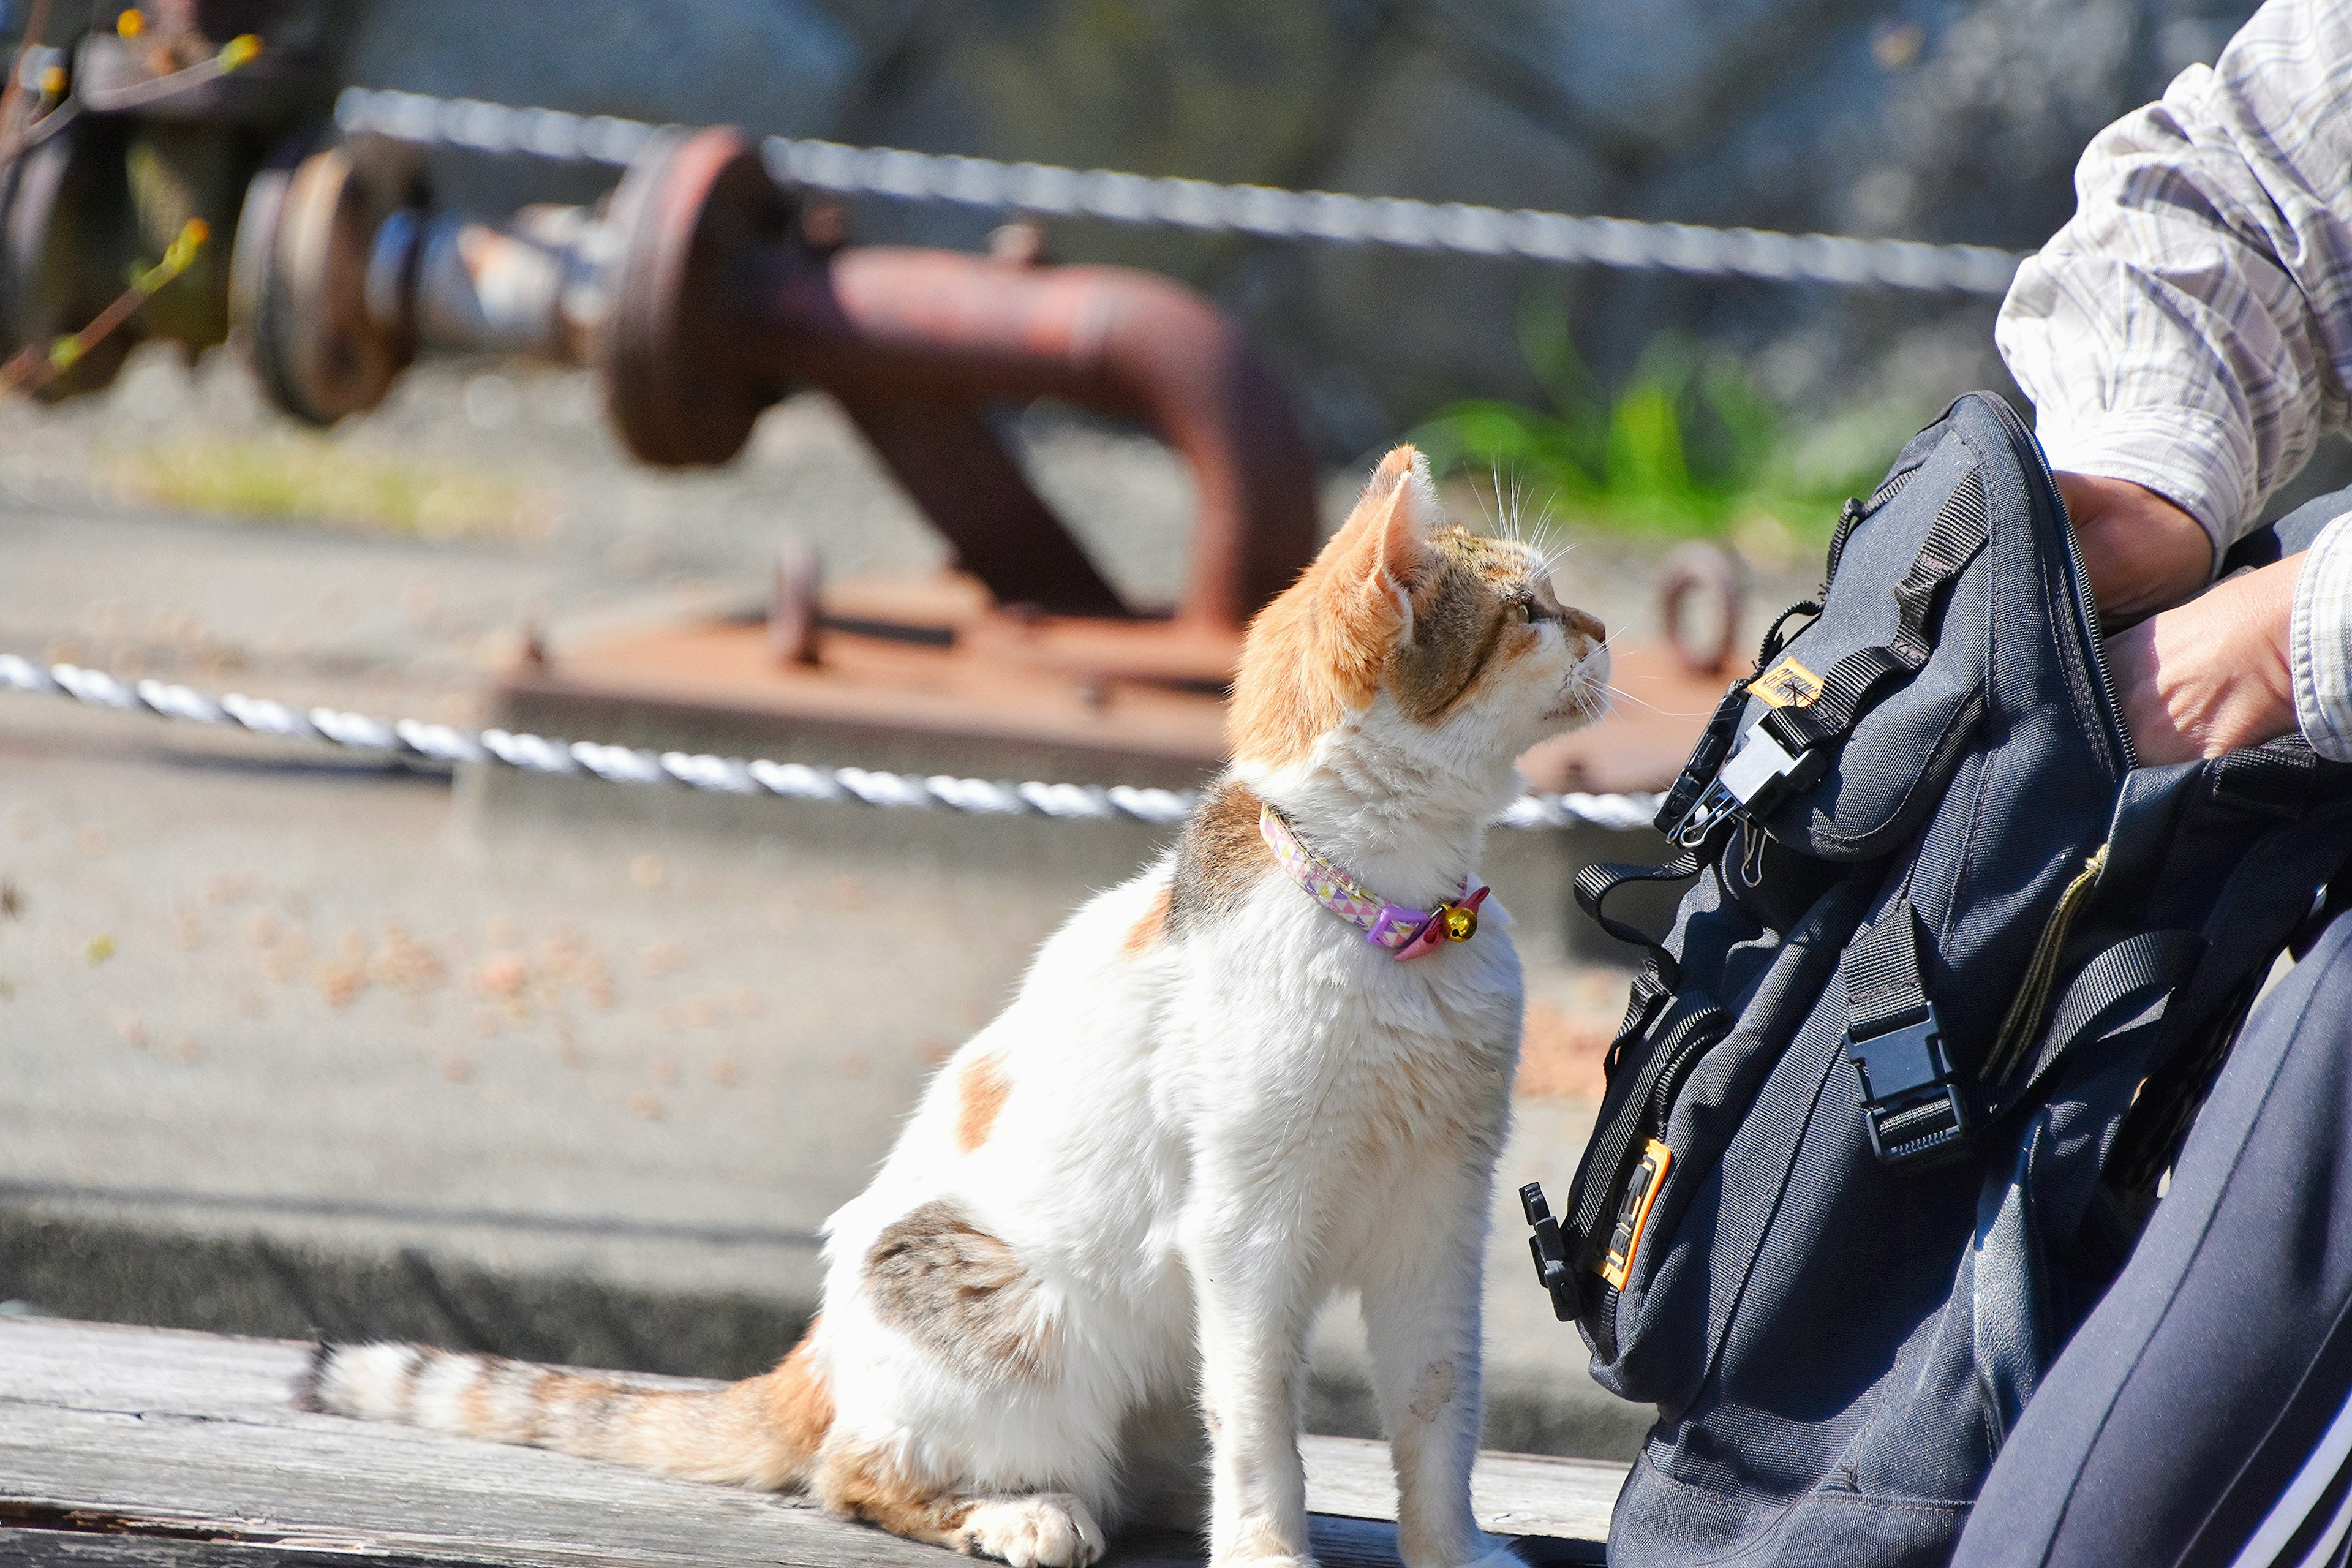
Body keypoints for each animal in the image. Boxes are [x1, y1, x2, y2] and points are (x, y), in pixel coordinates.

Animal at [294, 442, 1608, 1568]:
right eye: (1528, 615)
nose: (1602, 629)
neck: (1403, 926)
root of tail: (815, 1356)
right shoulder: (1248, 1228)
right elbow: (1262, 1429)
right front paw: (1271, 1556)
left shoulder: (1439, 1212)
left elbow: (1439, 1405)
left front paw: (1453, 1550)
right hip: (1005, 1309)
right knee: (860, 1473)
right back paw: (1027, 1514)